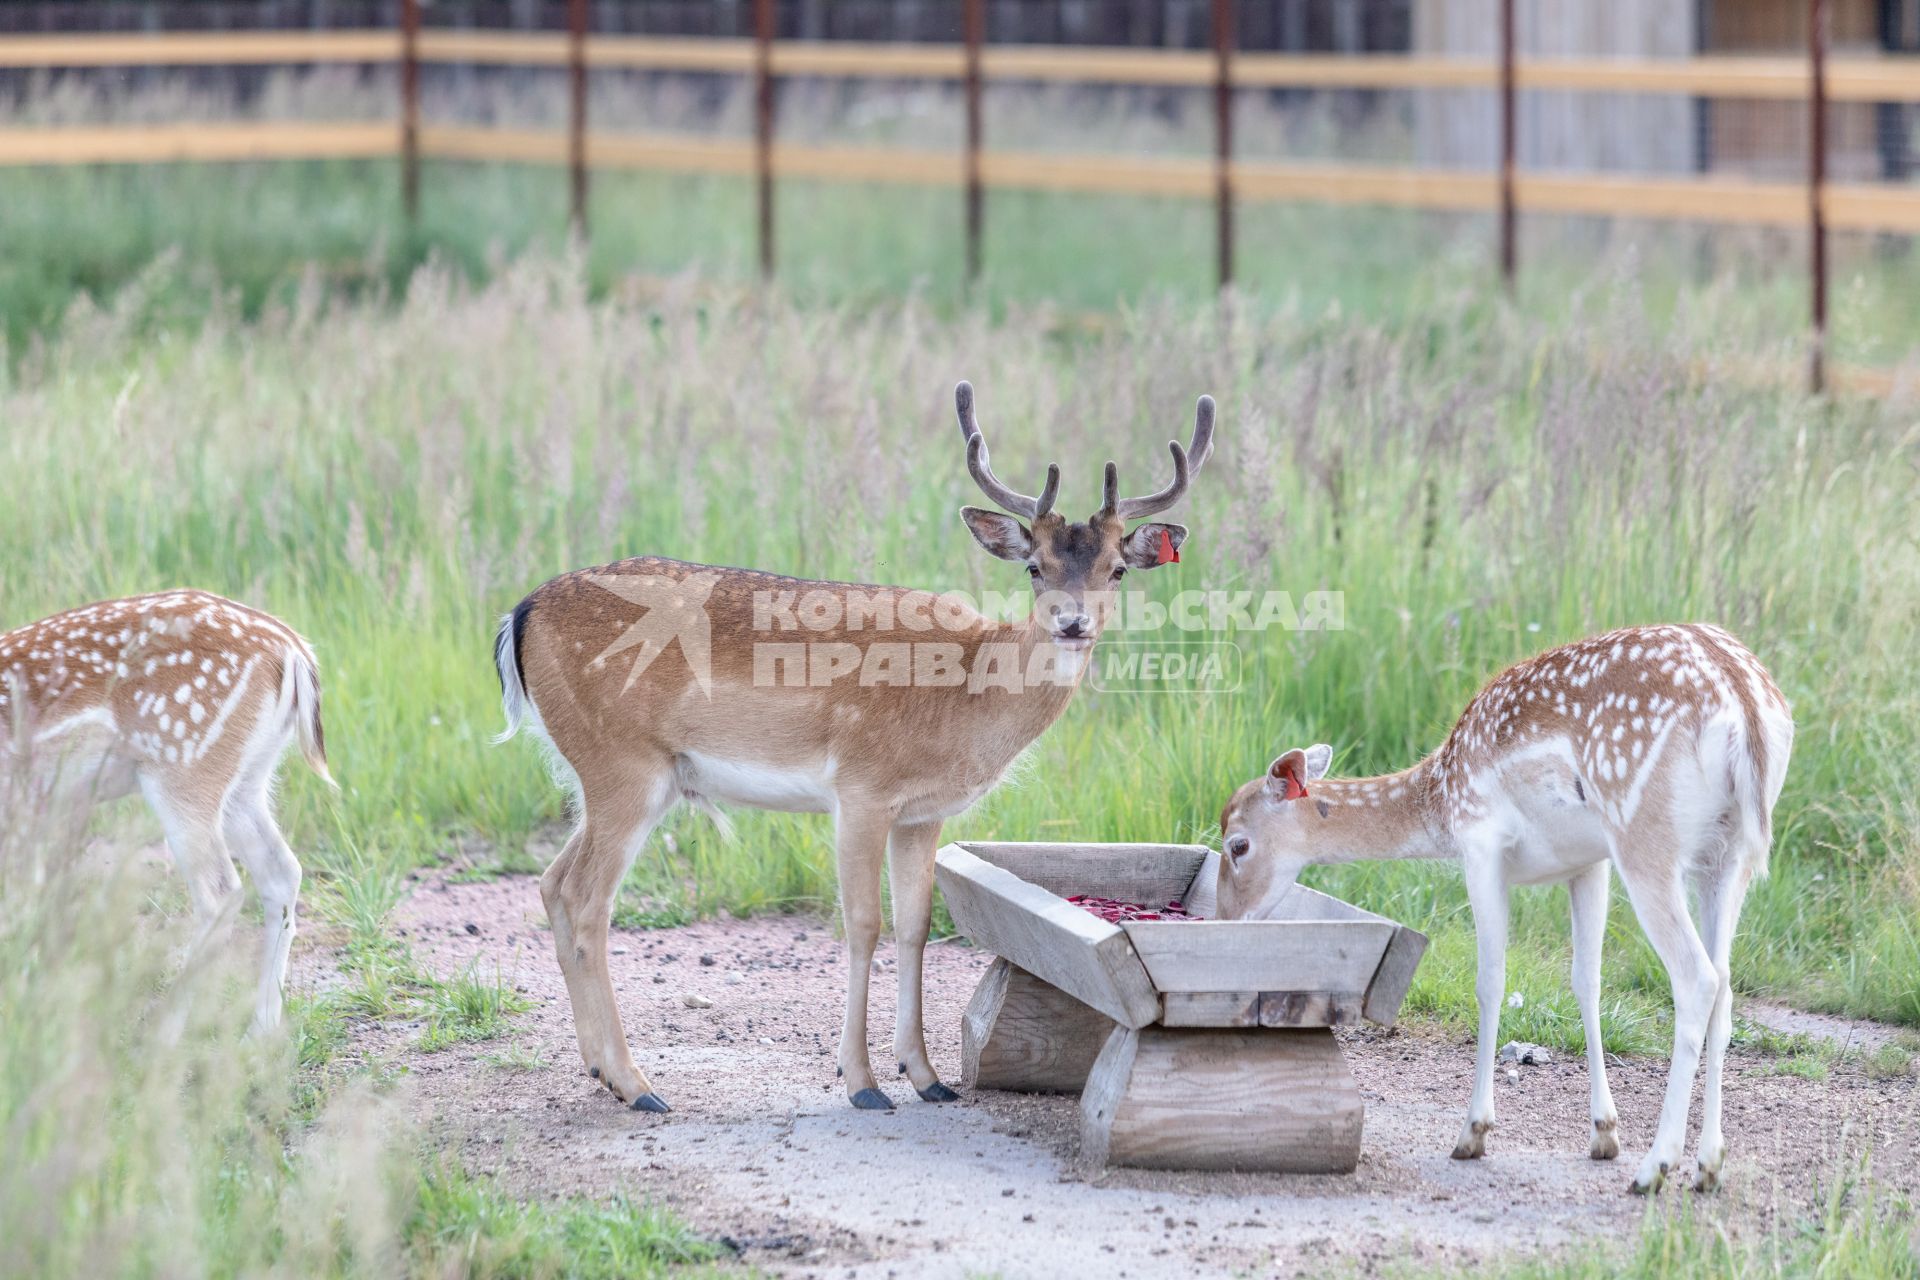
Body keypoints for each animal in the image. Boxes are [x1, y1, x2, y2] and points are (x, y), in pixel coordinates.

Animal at [0, 594, 330, 1036]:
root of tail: (293, 650)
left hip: (183, 767)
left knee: (220, 892)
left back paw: (160, 1035)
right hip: (247, 782)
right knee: (282, 872)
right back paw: (258, 1033)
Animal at [495, 379, 1213, 1113]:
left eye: (1118, 569)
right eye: (1035, 567)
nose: (1072, 624)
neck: (963, 697)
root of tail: (519, 614)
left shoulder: (922, 813)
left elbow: (915, 924)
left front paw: (927, 1077)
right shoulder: (863, 787)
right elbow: (864, 924)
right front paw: (864, 1084)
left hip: (623, 776)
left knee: (553, 884)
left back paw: (602, 1071)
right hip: (623, 764)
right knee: (588, 901)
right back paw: (640, 1086)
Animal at [1221, 625, 1789, 1197]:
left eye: (1237, 845)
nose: (1225, 919)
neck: (1440, 801)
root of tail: (1745, 703)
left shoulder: (1480, 843)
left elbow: (1490, 981)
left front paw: (1473, 1133)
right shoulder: (1588, 862)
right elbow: (1587, 981)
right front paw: (1603, 1134)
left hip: (1644, 833)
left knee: (1697, 977)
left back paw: (1655, 1167)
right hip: (1729, 854)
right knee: (1725, 984)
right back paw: (1709, 1166)